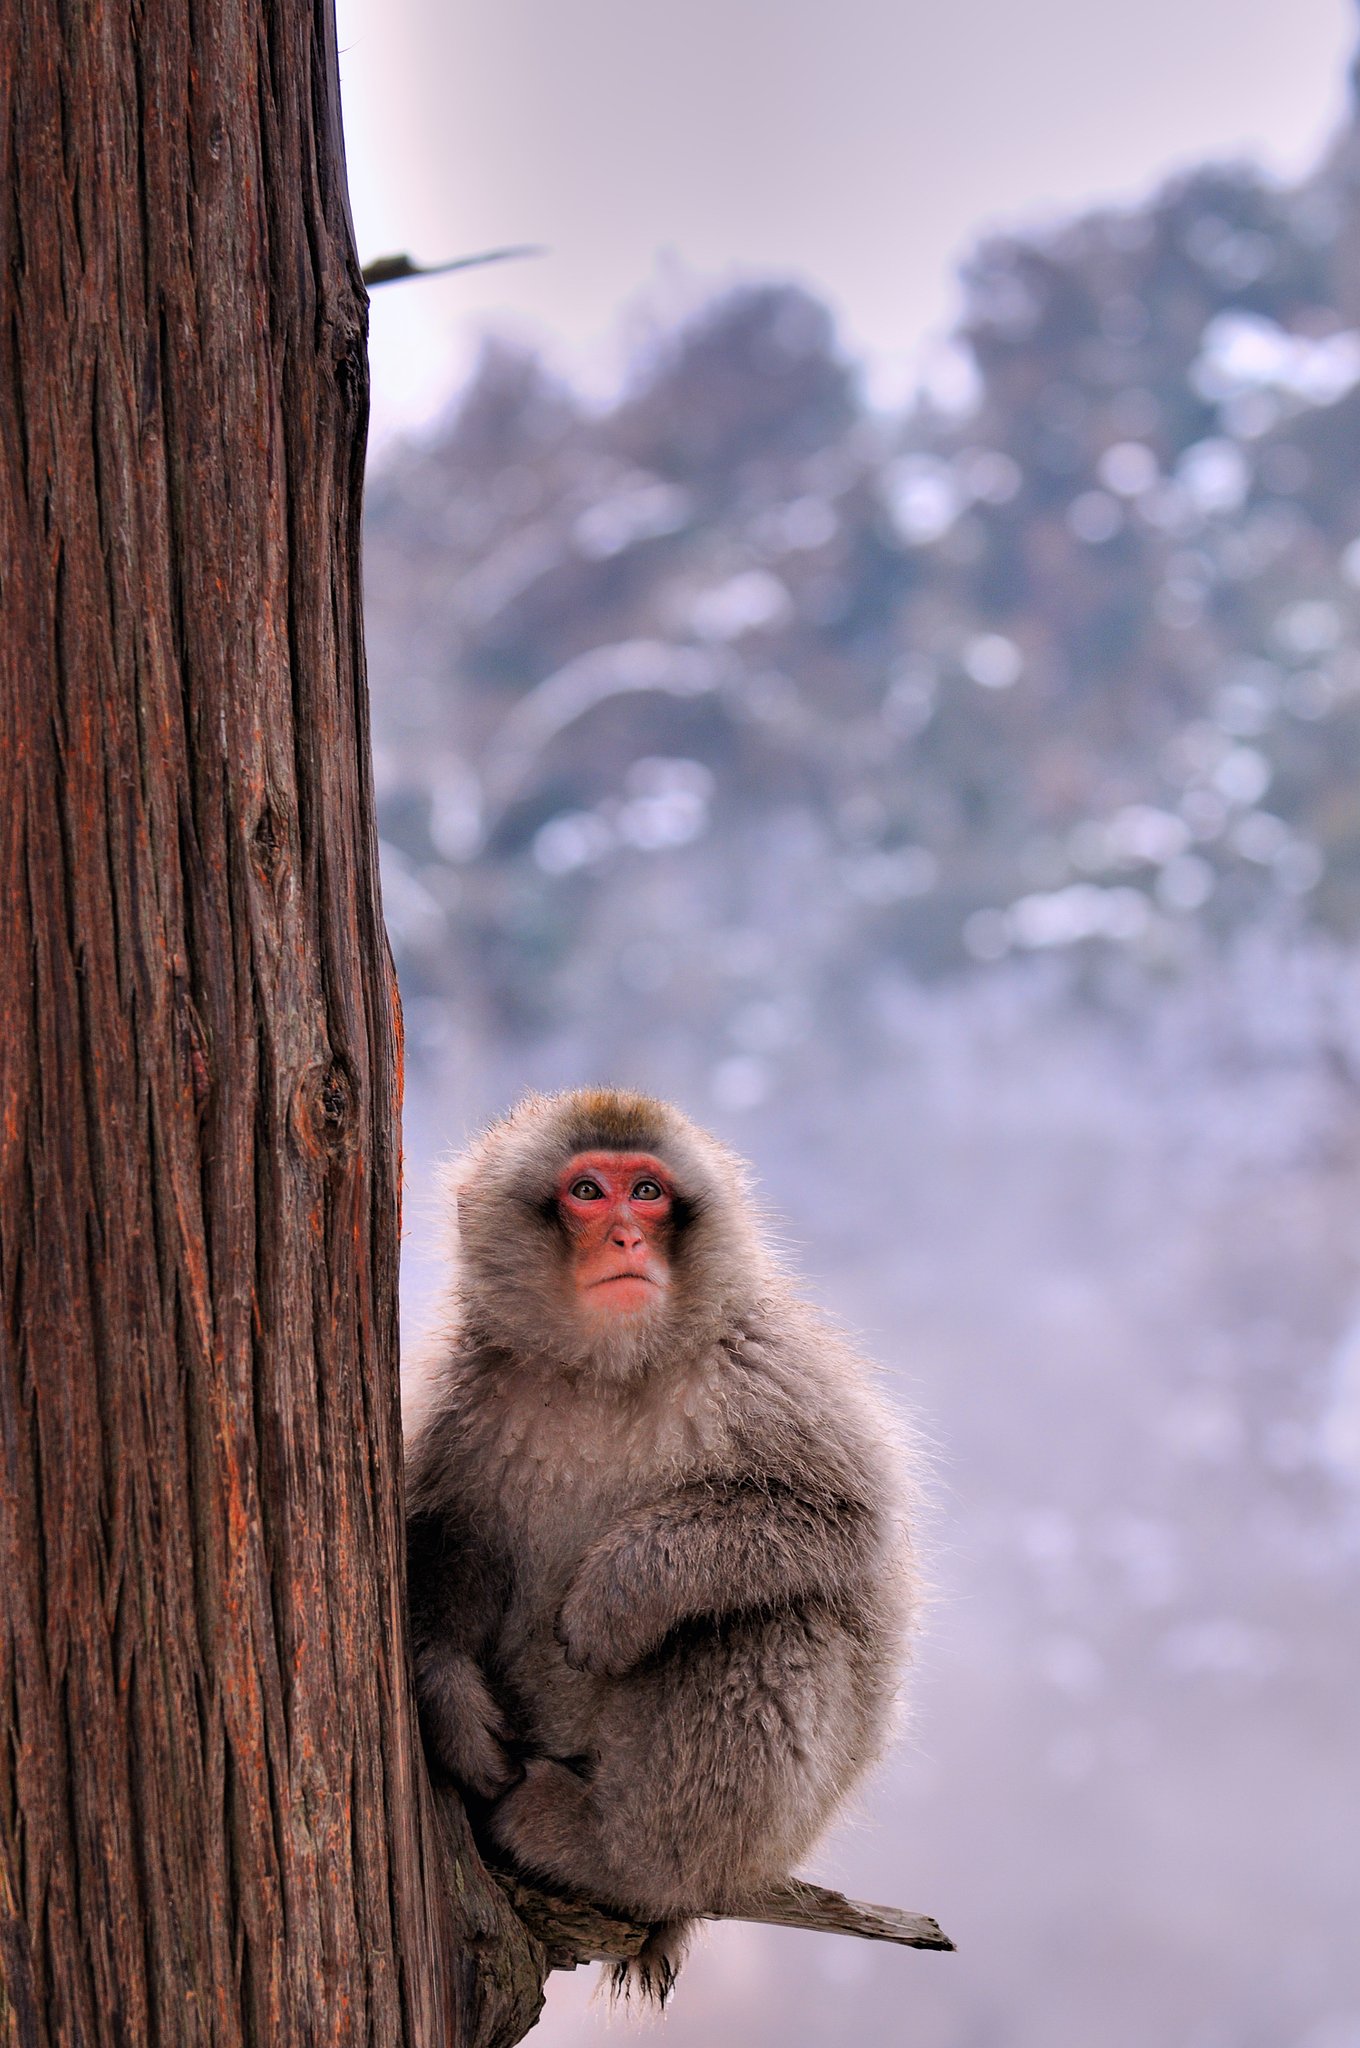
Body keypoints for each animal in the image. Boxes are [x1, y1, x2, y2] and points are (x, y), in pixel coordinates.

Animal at [405, 1088, 917, 2002]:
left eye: (647, 1192)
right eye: (587, 1192)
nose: (626, 1238)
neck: (608, 1369)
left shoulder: (762, 1365)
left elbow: (841, 1519)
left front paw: (619, 1595)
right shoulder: (465, 1391)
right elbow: (448, 1540)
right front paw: (450, 1695)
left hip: (766, 1832)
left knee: (764, 1624)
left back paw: (615, 1857)